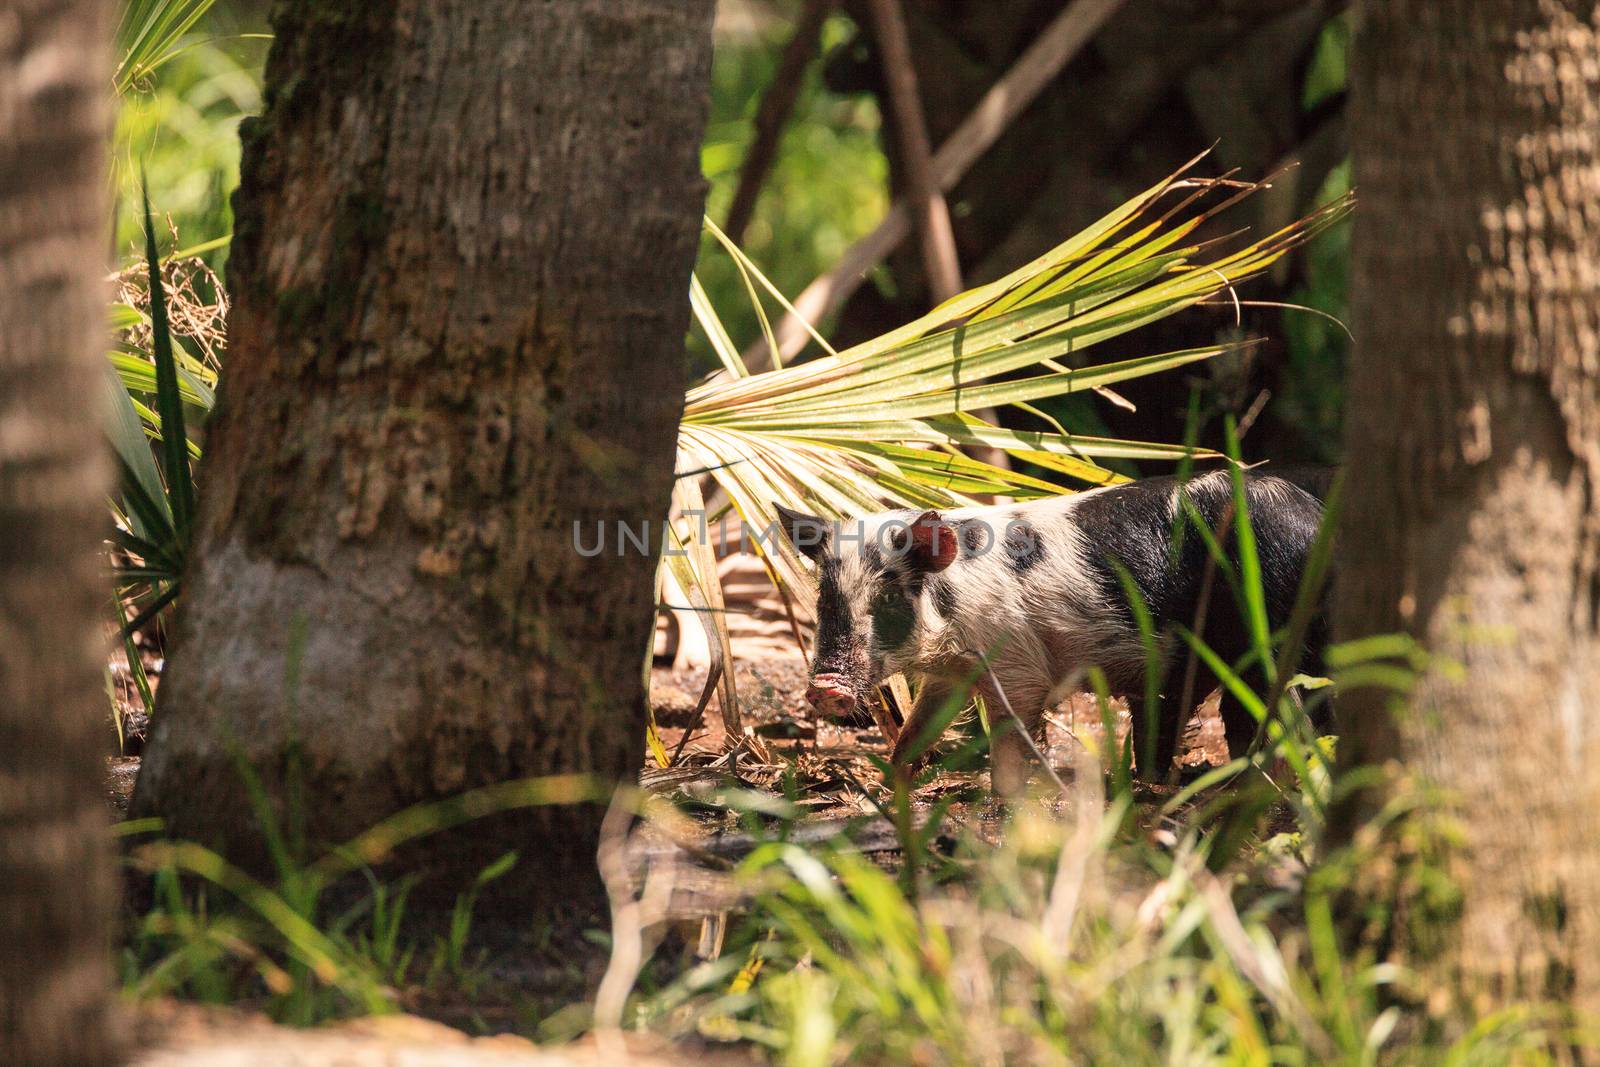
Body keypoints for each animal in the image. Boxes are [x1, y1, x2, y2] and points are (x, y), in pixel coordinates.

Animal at [780, 470, 1331, 796]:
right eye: (826, 600)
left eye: (889, 599)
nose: (825, 687)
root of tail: (1314, 519)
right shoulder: (952, 673)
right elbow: (920, 728)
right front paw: (891, 785)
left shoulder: (1017, 664)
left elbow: (1011, 736)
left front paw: (1007, 800)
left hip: (1269, 629)